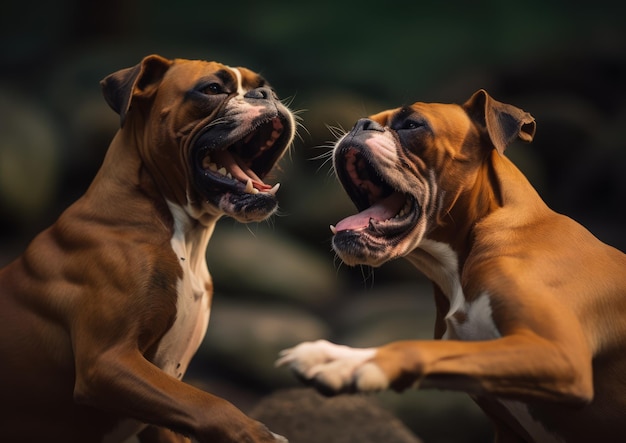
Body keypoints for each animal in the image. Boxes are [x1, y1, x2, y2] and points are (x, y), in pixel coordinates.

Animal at [0, 55, 294, 443]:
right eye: (213, 89)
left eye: (263, 86)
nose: (267, 94)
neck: (183, 234)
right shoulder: (108, 362)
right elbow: (212, 404)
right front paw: (257, 434)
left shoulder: (161, 400)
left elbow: (194, 408)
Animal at [278, 90, 624, 443]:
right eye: (368, 119)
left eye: (412, 125)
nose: (360, 124)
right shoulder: (501, 413)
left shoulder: (559, 354)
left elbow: (416, 347)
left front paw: (351, 362)